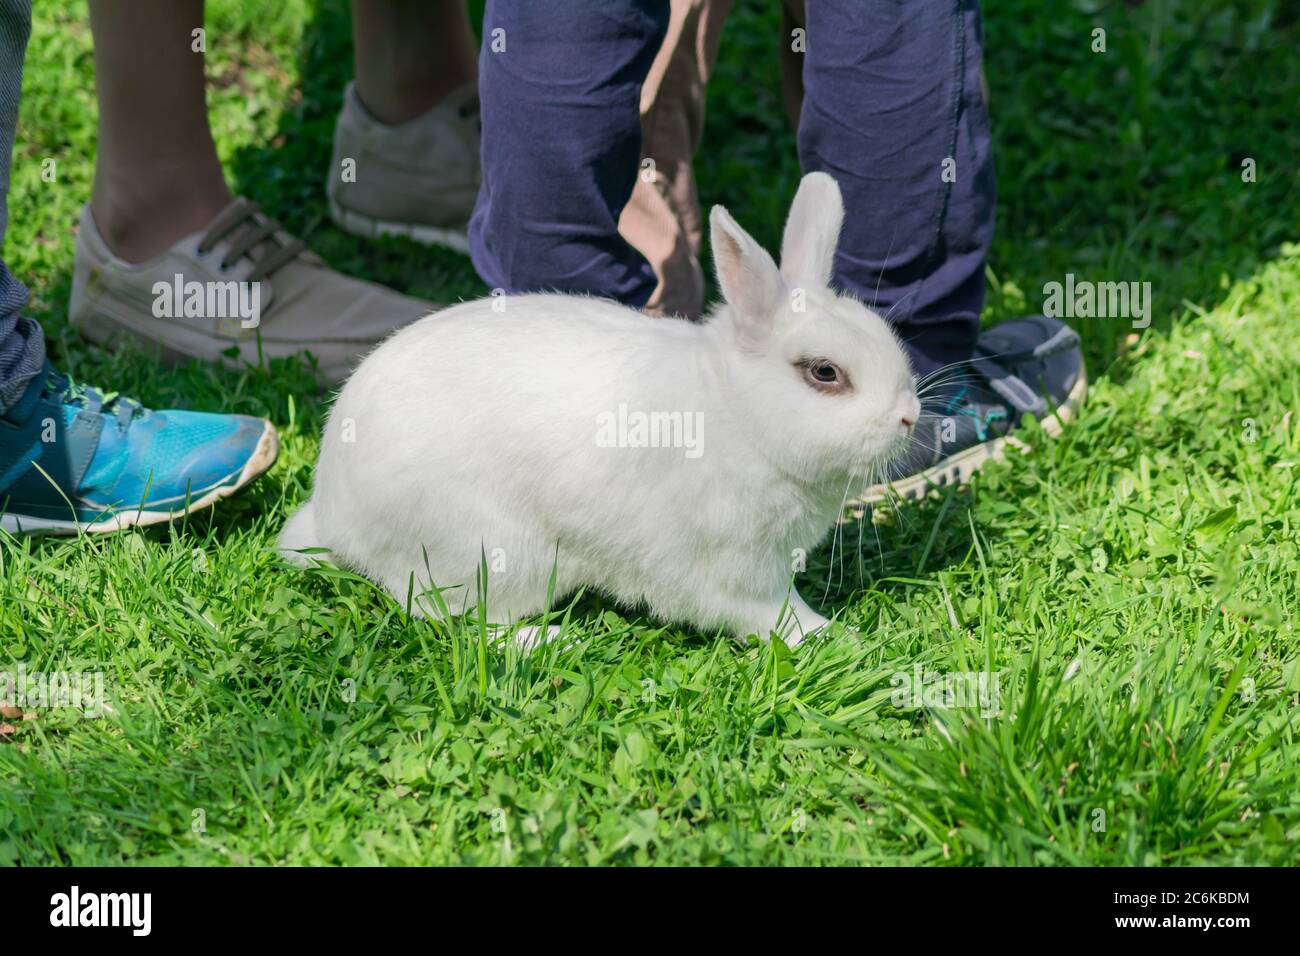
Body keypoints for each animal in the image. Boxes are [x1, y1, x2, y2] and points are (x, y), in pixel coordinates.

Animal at [280, 172, 920, 647]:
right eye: (824, 373)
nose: (910, 415)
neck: (737, 415)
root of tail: (336, 518)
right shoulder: (733, 574)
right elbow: (772, 615)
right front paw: (836, 639)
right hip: (498, 556)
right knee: (458, 620)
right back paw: (551, 641)